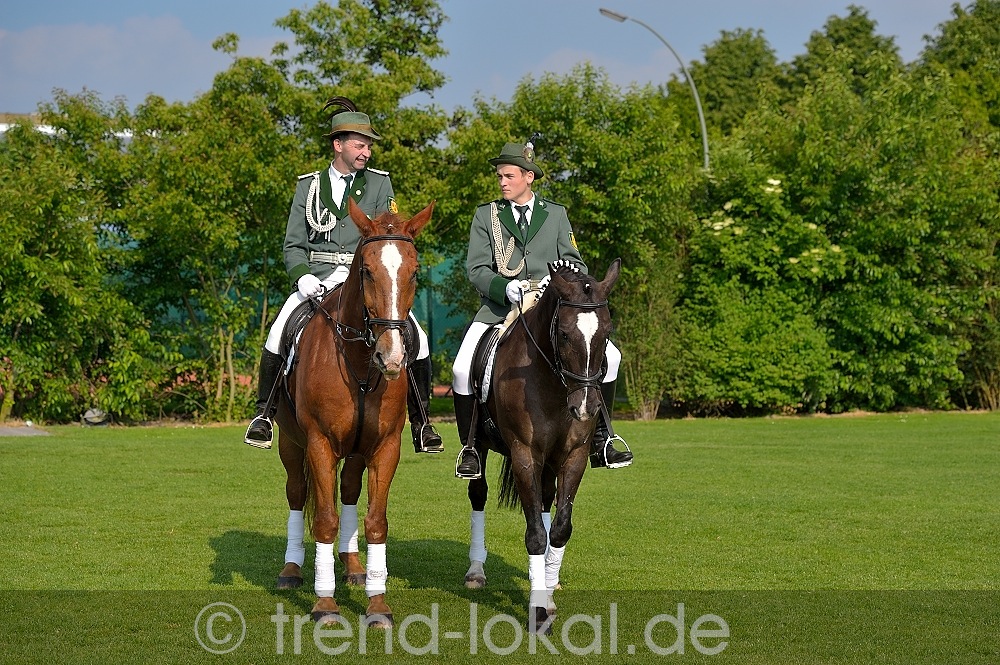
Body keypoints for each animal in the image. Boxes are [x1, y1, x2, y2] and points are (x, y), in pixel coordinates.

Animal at [272, 197, 434, 627]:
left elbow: (376, 522)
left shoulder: (384, 447)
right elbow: (324, 521)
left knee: (347, 491)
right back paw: (292, 569)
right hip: (291, 444)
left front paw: (377, 605)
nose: (391, 357)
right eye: (366, 271)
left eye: (414, 271)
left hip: (358, 451)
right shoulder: (319, 444)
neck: (360, 360)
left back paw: (354, 566)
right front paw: (325, 604)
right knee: (297, 493)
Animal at [460, 258, 621, 634]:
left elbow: (559, 529)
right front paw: (536, 611)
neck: (552, 383)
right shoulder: (525, 455)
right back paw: (476, 571)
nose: (586, 407)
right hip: (479, 448)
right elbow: (535, 533)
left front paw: (547, 595)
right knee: (479, 494)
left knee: (546, 499)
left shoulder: (574, 456)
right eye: (563, 334)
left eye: (606, 333)